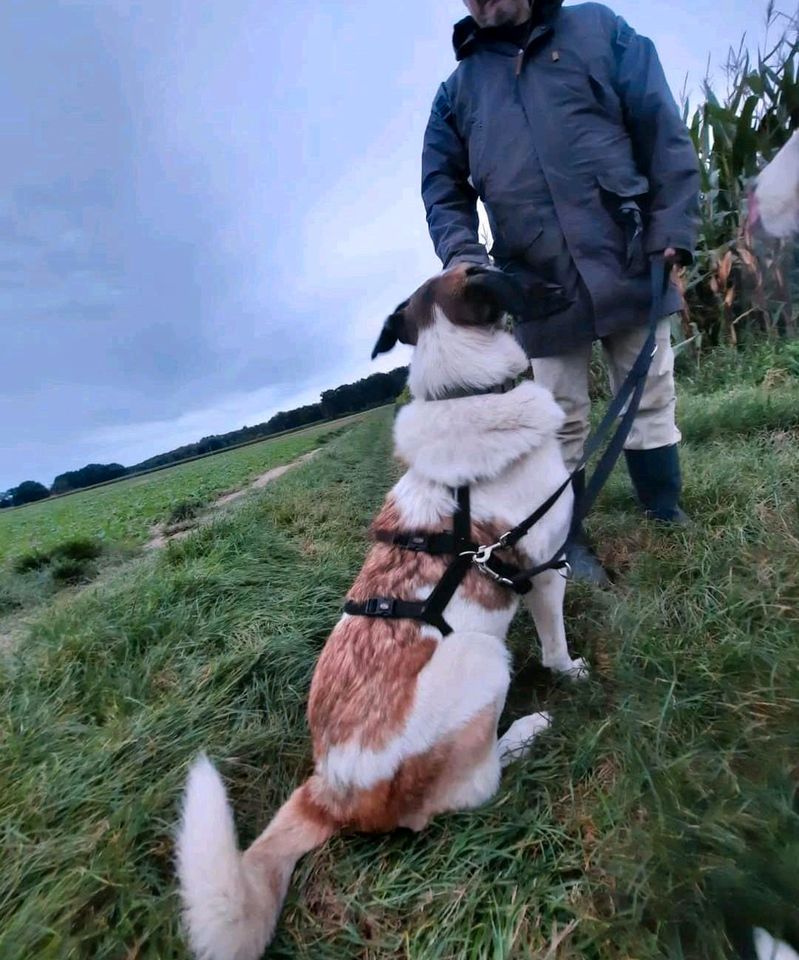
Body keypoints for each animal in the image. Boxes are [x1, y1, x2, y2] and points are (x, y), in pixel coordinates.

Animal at [177, 262, 588, 960]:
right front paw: (569, 672)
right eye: (503, 268)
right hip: (482, 657)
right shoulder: (542, 570)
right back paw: (524, 734)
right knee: (467, 791)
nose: (566, 285)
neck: (464, 393)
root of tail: (331, 792)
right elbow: (555, 642)